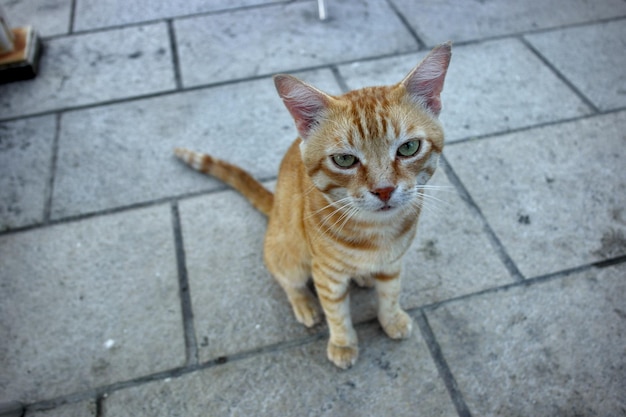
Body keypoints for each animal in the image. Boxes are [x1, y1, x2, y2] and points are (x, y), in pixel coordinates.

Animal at [174, 42, 448, 368]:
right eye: (344, 159)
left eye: (408, 148)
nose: (384, 190)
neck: (376, 232)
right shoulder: (326, 274)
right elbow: (336, 312)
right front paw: (343, 343)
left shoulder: (393, 263)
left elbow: (391, 292)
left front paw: (391, 318)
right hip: (288, 255)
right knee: (286, 280)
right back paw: (304, 304)